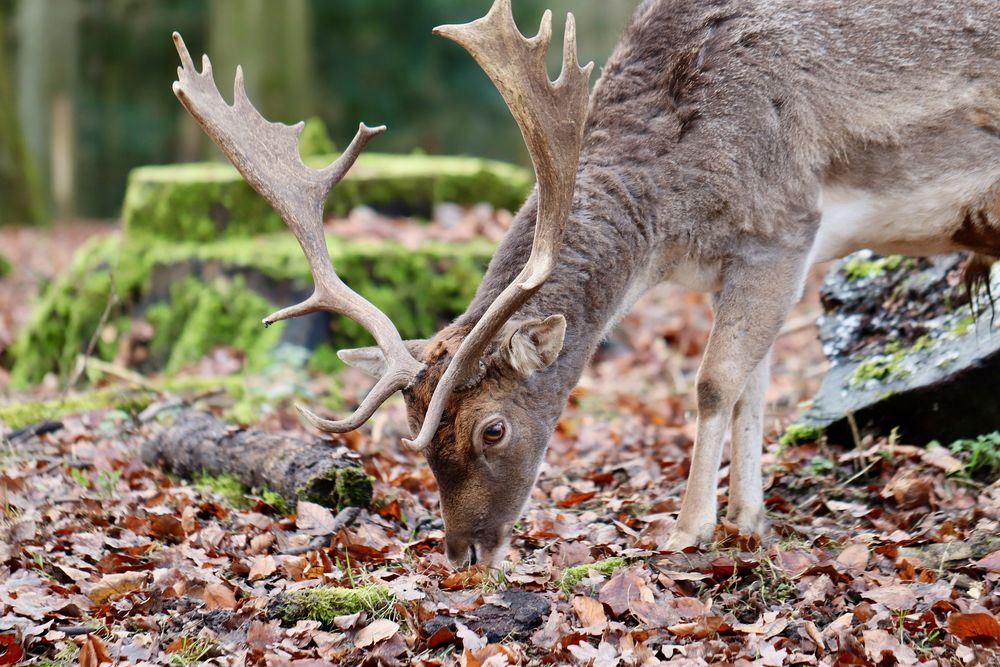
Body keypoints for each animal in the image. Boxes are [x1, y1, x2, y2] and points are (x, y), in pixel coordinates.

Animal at [172, 0, 1000, 569]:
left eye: (493, 428)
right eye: (417, 438)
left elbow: (713, 382)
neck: (673, 224)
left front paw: (689, 526)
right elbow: (754, 388)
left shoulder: (783, 223)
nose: (464, 552)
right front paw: (748, 519)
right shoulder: (749, 263)